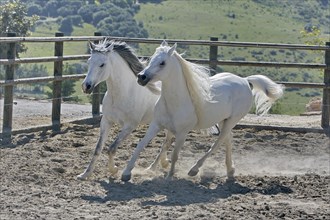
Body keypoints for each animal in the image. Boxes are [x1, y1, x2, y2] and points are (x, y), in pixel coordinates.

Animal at [77, 39, 175, 180]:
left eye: (102, 64)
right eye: (89, 61)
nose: (86, 86)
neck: (123, 93)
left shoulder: (130, 126)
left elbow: (112, 148)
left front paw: (114, 170)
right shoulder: (106, 121)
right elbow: (98, 148)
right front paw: (85, 174)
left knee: (167, 142)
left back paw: (157, 166)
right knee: (166, 142)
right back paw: (159, 164)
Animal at [121, 40, 284, 181]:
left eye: (162, 63)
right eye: (151, 59)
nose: (141, 77)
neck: (176, 101)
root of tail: (245, 80)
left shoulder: (182, 132)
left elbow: (174, 154)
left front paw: (169, 175)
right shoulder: (156, 125)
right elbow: (142, 145)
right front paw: (129, 172)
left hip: (232, 120)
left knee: (218, 142)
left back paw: (194, 169)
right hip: (223, 120)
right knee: (228, 140)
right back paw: (230, 170)